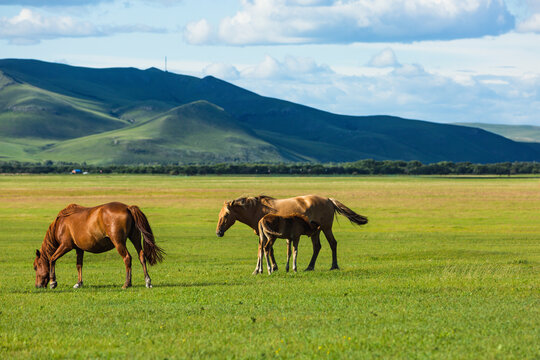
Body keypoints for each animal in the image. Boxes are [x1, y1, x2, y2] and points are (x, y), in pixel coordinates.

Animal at [33, 202, 163, 290]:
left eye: (35, 267)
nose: (37, 286)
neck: (61, 223)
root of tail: (127, 207)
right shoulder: (79, 249)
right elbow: (79, 265)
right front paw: (79, 283)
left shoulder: (65, 246)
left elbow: (52, 259)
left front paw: (53, 282)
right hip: (135, 238)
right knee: (141, 256)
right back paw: (147, 281)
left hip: (118, 242)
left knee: (127, 258)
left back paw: (127, 283)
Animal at [215, 195, 368, 272]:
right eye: (219, 214)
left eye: (226, 215)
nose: (218, 232)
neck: (256, 209)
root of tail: (329, 200)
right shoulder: (265, 235)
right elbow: (265, 250)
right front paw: (268, 268)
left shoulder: (267, 235)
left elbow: (266, 250)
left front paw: (270, 268)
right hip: (316, 232)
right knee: (317, 247)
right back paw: (310, 267)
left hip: (326, 228)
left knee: (332, 243)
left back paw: (333, 266)